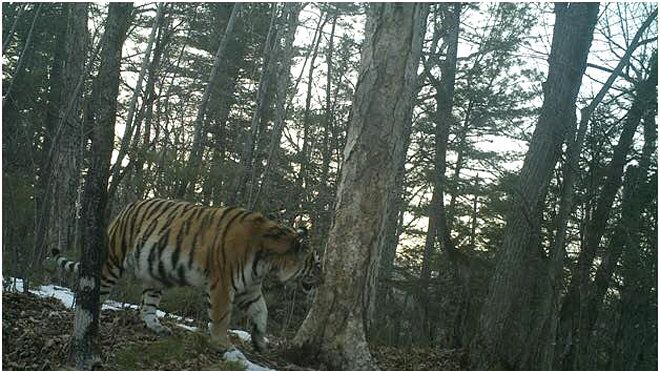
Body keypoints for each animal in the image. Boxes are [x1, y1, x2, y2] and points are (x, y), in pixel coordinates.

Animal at [51, 198, 322, 352]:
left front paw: (260, 342)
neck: (269, 261)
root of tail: (124, 209)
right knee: (94, 292)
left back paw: (157, 328)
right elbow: (222, 316)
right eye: (317, 263)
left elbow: (261, 311)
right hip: (113, 260)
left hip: (154, 274)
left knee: (147, 306)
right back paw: (88, 319)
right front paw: (222, 345)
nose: (323, 280)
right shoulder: (223, 283)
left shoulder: (250, 289)